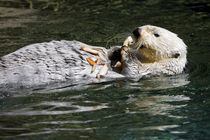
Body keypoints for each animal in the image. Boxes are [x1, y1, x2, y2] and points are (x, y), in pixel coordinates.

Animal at [0, 25, 187, 91]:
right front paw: (118, 49)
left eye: (156, 34)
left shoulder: (146, 72)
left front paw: (126, 53)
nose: (136, 31)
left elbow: (131, 71)